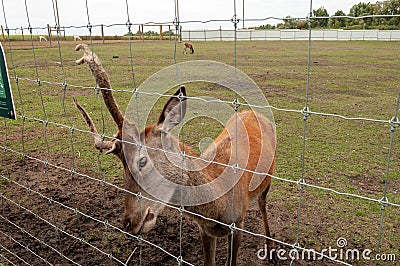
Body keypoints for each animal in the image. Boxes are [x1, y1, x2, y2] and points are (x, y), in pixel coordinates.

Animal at [73, 44, 276, 266]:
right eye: (122, 164)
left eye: (142, 160)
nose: (128, 223)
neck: (217, 210)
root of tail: (254, 112)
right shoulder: (204, 230)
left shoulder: (237, 223)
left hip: (268, 180)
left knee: (263, 205)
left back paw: (271, 249)